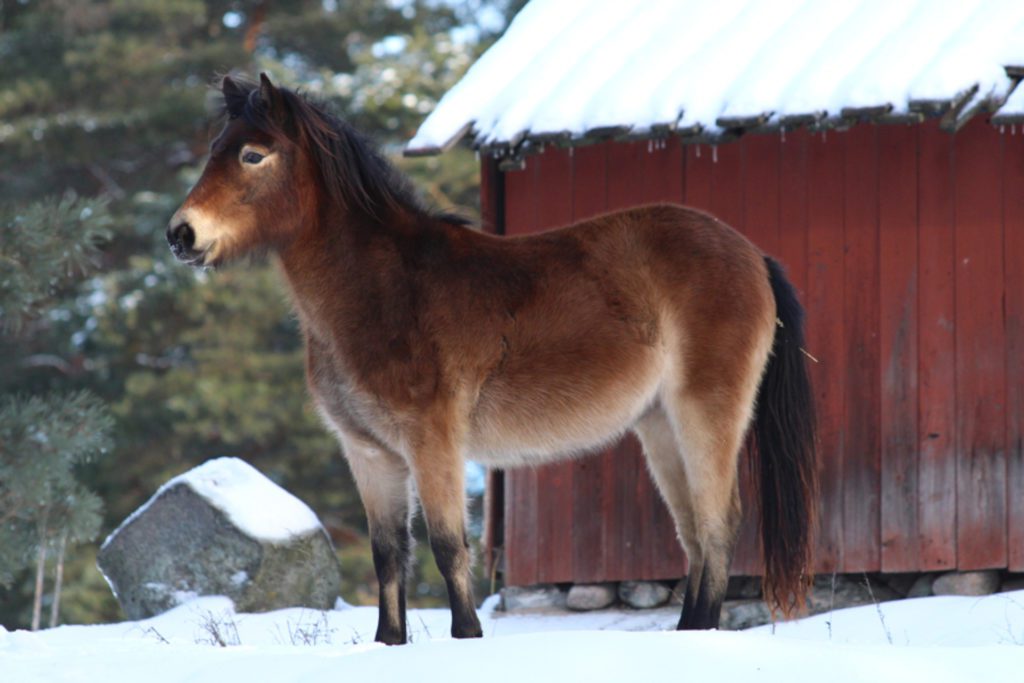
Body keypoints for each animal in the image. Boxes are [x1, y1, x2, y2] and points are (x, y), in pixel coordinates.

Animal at [172, 74, 819, 647]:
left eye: (253, 155)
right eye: (215, 149)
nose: (182, 234)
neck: (385, 289)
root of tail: (752, 254)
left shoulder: (433, 441)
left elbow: (447, 547)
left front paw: (468, 638)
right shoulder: (371, 455)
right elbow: (389, 557)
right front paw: (388, 644)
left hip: (704, 415)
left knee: (717, 526)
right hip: (660, 426)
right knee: (693, 535)